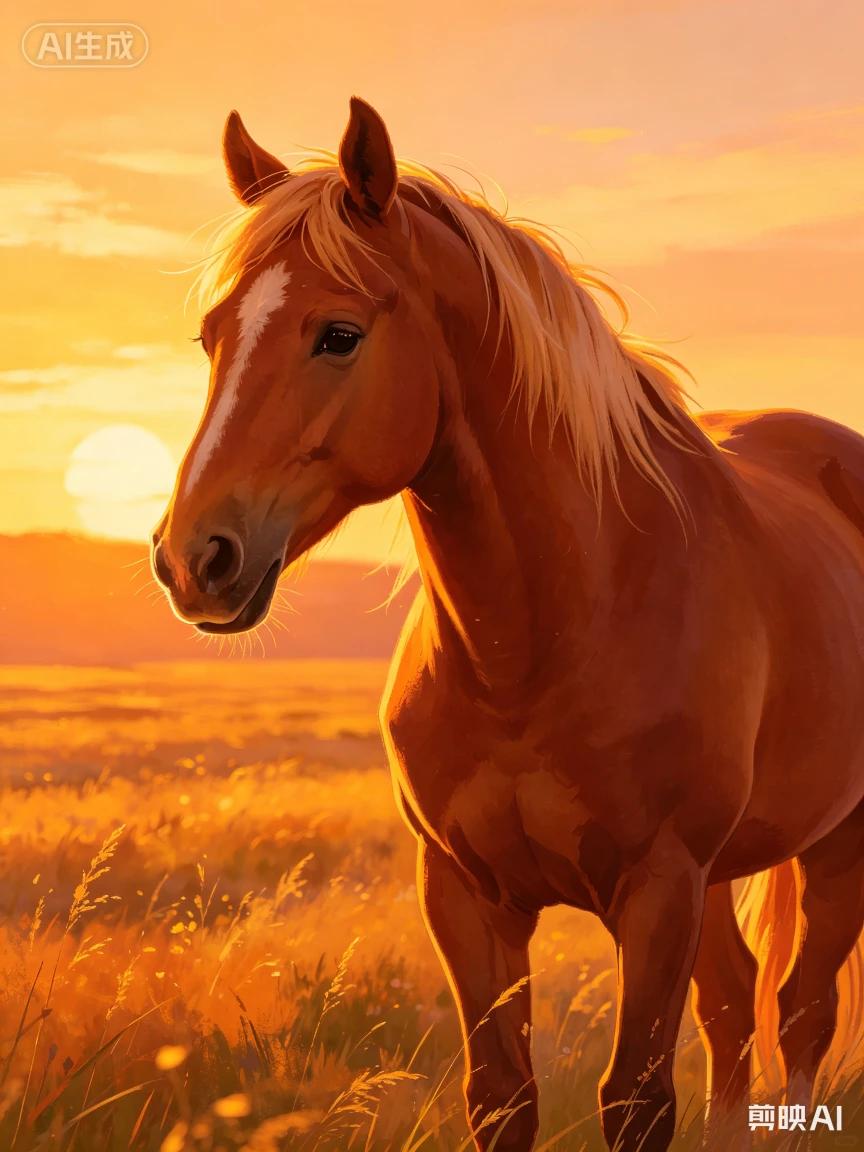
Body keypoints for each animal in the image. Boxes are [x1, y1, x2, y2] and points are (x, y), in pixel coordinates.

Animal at [151, 97, 864, 1151]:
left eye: (338, 334)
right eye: (213, 337)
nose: (193, 558)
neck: (536, 644)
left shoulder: (657, 889)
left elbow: (637, 1097)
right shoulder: (464, 896)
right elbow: (502, 1098)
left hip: (834, 845)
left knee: (801, 1017)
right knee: (736, 1006)